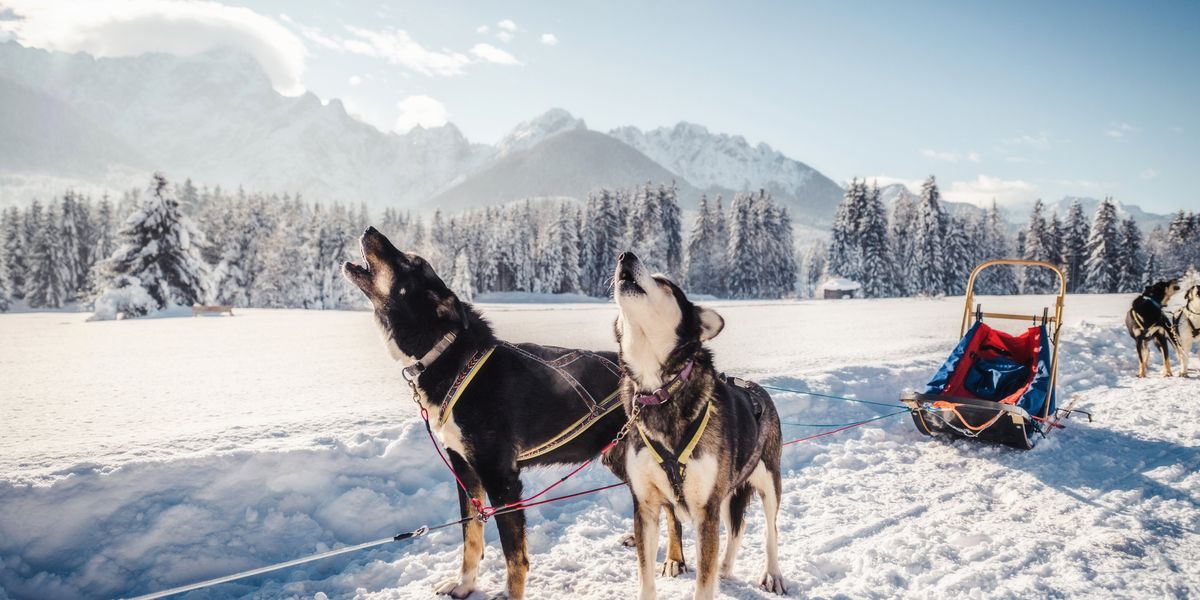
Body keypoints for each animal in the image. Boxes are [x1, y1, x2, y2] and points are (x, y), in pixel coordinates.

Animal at [348, 228, 686, 600]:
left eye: (409, 261)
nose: (370, 231)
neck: (450, 356)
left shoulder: (501, 477)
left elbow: (514, 555)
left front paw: (509, 592)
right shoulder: (465, 471)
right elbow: (471, 537)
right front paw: (464, 585)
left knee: (672, 509)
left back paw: (675, 559)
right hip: (618, 457)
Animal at [609, 252, 787, 600]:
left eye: (664, 282)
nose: (626, 255)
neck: (660, 391)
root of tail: (756, 389)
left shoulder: (706, 509)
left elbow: (703, 585)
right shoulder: (646, 508)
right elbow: (646, 579)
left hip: (769, 481)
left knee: (770, 530)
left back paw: (772, 574)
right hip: (728, 491)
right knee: (736, 528)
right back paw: (726, 568)